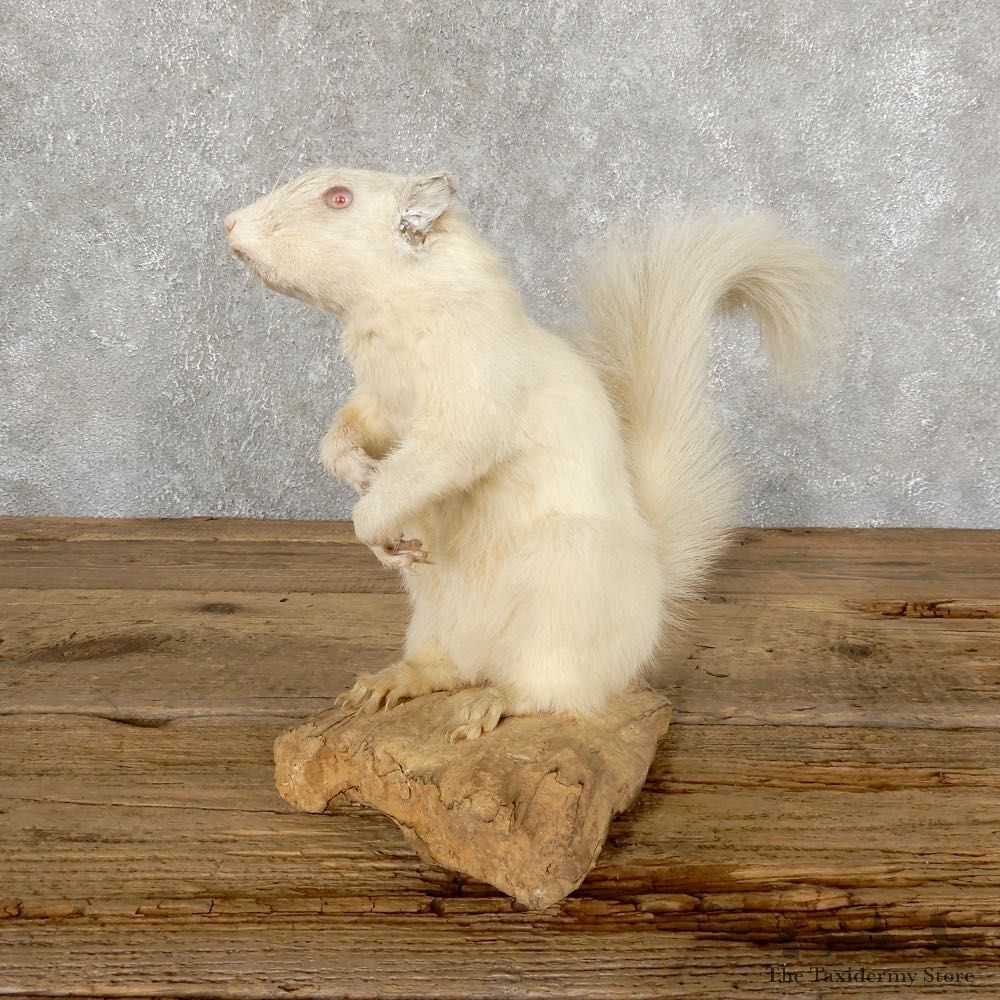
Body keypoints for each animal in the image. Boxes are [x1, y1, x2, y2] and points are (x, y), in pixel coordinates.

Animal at [226, 168, 841, 742]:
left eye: (338, 198)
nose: (230, 224)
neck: (391, 316)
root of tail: (650, 599)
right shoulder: (378, 402)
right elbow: (345, 432)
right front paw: (356, 470)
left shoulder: (472, 398)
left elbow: (446, 454)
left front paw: (372, 521)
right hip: (432, 612)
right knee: (446, 669)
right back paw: (393, 681)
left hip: (564, 600)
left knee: (548, 693)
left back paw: (489, 703)